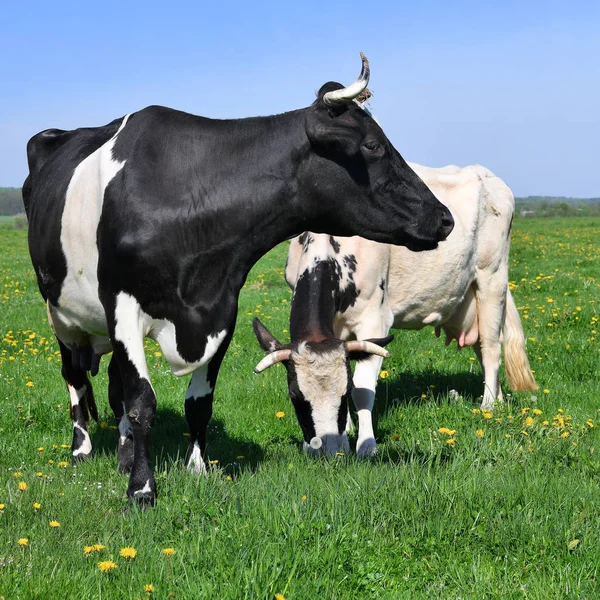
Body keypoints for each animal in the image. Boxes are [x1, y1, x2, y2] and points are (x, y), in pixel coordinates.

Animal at [23, 55, 454, 502]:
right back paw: (82, 449)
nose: (444, 218)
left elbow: (197, 404)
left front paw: (196, 470)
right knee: (75, 379)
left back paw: (124, 454)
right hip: (60, 316)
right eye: (373, 145)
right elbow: (142, 402)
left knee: (111, 386)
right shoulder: (122, 305)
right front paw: (141, 488)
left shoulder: (222, 311)